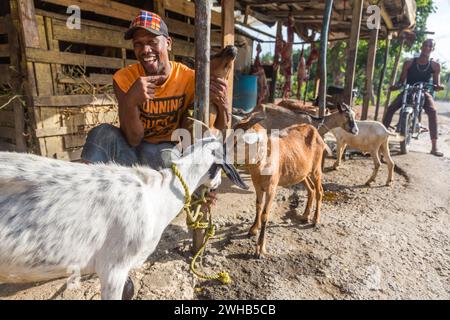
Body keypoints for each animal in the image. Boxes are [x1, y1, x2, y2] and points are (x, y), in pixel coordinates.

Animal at [232, 120, 326, 258]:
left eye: (241, 139)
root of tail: (315, 131)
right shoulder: (258, 186)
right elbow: (258, 206)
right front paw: (253, 229)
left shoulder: (272, 188)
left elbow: (265, 214)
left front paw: (260, 250)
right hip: (302, 173)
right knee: (311, 189)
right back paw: (305, 216)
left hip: (316, 169)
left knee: (319, 191)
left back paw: (315, 220)